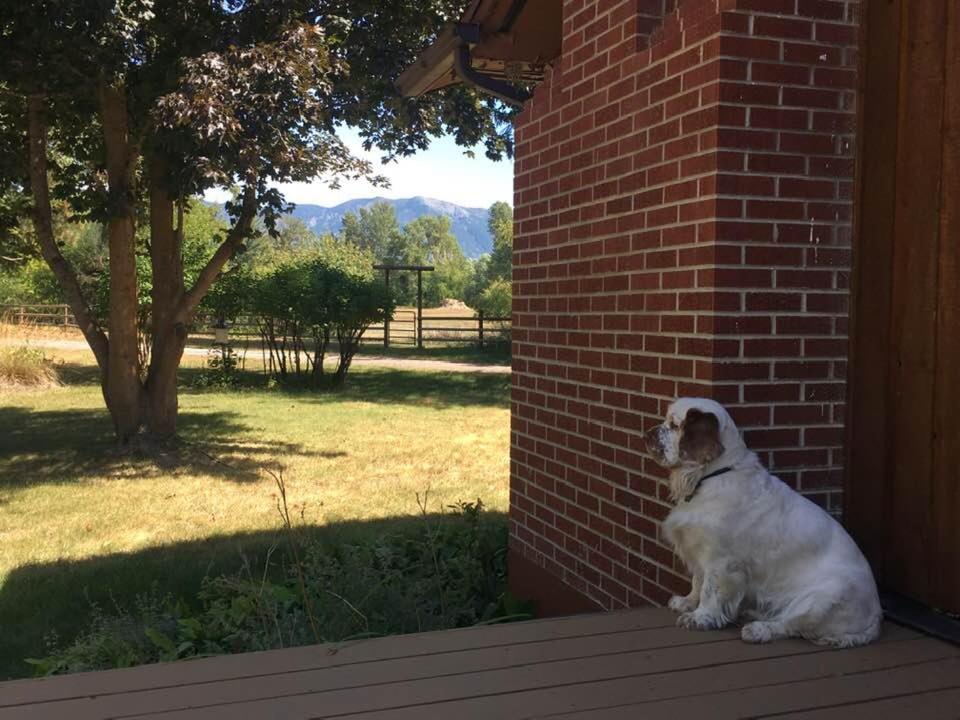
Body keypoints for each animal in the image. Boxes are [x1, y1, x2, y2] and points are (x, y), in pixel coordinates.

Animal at [644, 400, 884, 648]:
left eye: (674, 425)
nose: (647, 434)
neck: (710, 477)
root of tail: (876, 615)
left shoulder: (721, 561)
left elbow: (710, 590)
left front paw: (700, 617)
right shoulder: (699, 551)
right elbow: (697, 581)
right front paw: (686, 602)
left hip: (822, 599)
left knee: (789, 624)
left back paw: (758, 630)